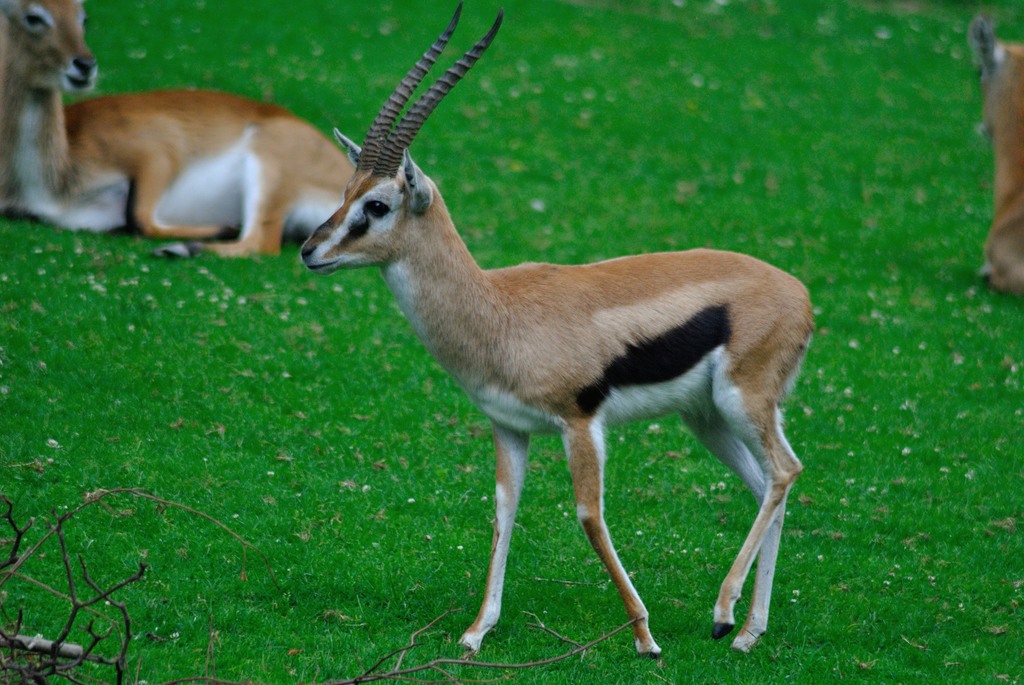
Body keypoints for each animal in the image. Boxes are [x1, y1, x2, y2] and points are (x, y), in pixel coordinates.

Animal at [0, 0, 353, 257]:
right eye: (34, 16)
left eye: (83, 16)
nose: (84, 64)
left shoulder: (158, 151)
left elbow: (139, 218)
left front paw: (219, 228)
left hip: (269, 165)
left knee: (260, 242)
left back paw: (181, 248)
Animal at [302, 4, 813, 655]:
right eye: (346, 192)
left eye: (377, 205)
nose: (310, 251)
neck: (497, 311)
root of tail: (798, 293)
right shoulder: (510, 427)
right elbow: (503, 511)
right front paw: (476, 632)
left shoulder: (580, 424)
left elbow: (589, 517)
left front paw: (644, 637)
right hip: (707, 418)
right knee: (766, 483)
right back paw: (748, 631)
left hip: (740, 401)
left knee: (784, 472)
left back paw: (724, 615)